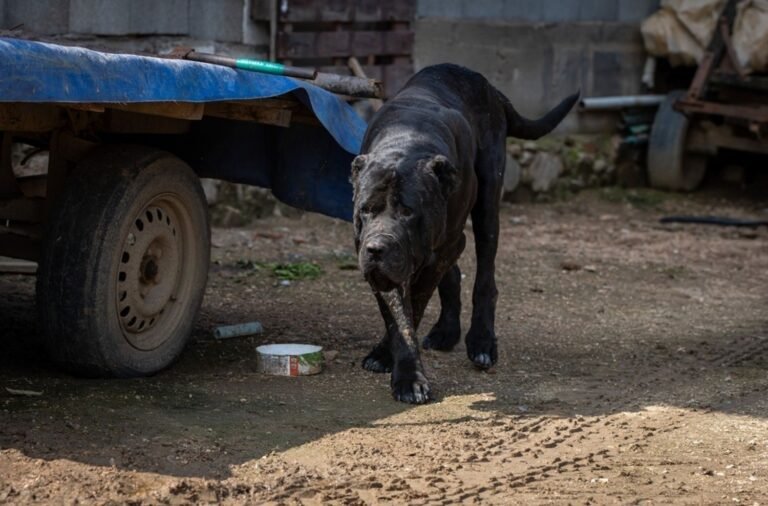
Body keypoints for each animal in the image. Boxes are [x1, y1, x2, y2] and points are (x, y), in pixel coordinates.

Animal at [348, 64, 576, 404]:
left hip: (486, 205)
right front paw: (398, 365)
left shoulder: (438, 249)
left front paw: (404, 371)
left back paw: (481, 341)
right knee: (453, 275)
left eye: (408, 211)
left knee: (485, 277)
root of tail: (484, 83)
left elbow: (414, 305)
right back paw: (446, 332)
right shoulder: (384, 263)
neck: (406, 142)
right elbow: (399, 316)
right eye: (365, 209)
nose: (376, 248)